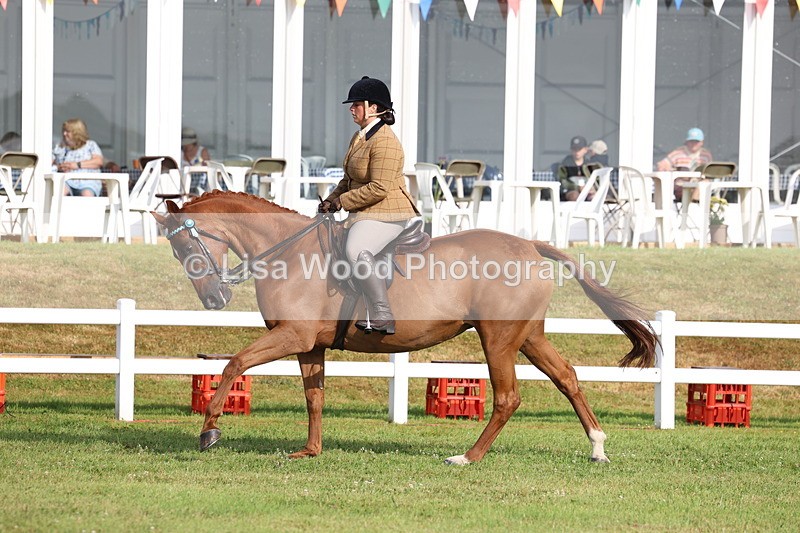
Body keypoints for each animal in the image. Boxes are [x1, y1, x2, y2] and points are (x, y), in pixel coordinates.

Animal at [152, 190, 657, 464]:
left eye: (186, 247)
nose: (215, 300)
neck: (287, 251)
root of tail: (530, 246)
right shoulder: (308, 346)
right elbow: (314, 397)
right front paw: (310, 451)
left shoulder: (291, 336)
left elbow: (234, 363)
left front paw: (209, 430)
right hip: (528, 337)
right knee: (567, 377)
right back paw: (597, 447)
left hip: (498, 340)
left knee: (508, 397)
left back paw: (467, 457)